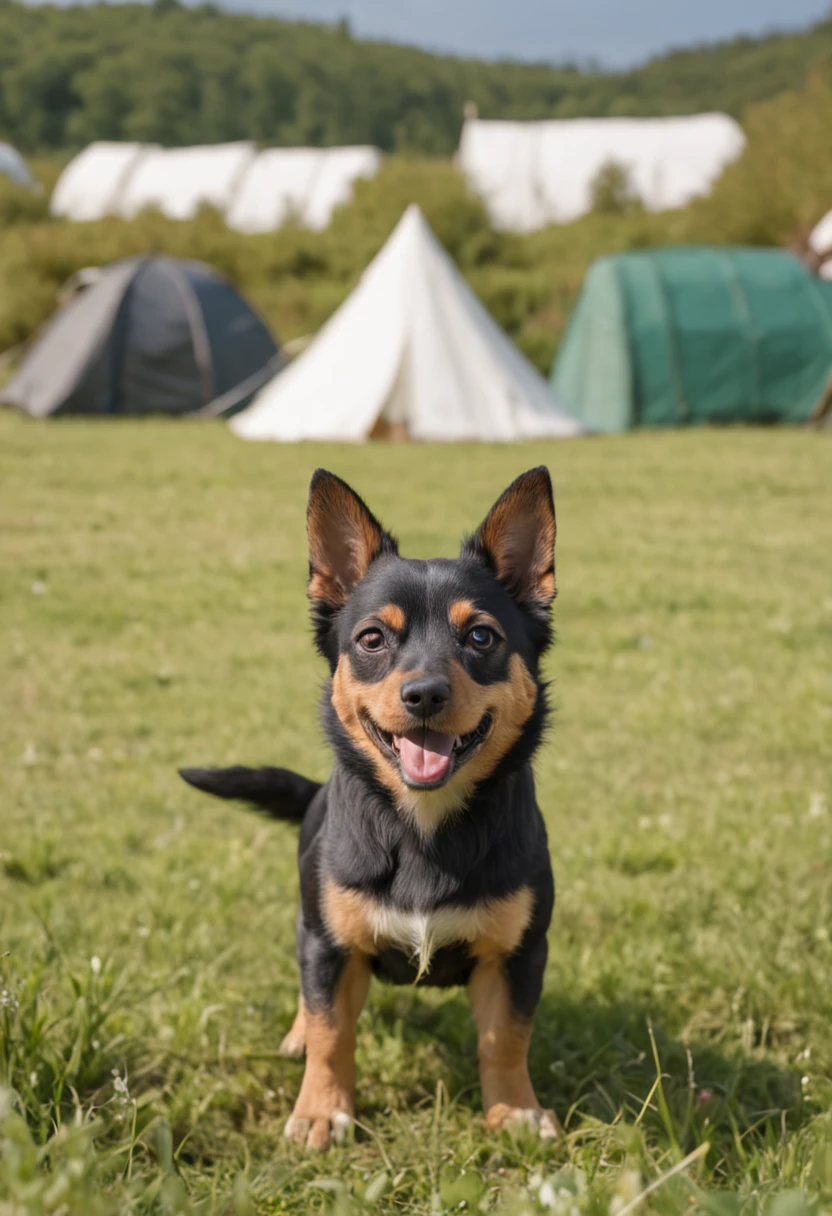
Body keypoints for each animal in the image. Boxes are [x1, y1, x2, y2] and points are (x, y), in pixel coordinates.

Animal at [180, 464, 559, 1147]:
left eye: (481, 636)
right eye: (373, 638)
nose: (425, 694)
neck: (423, 829)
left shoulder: (518, 954)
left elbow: (506, 1039)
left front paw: (514, 1110)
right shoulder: (331, 945)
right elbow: (332, 1031)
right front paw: (321, 1111)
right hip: (309, 921)